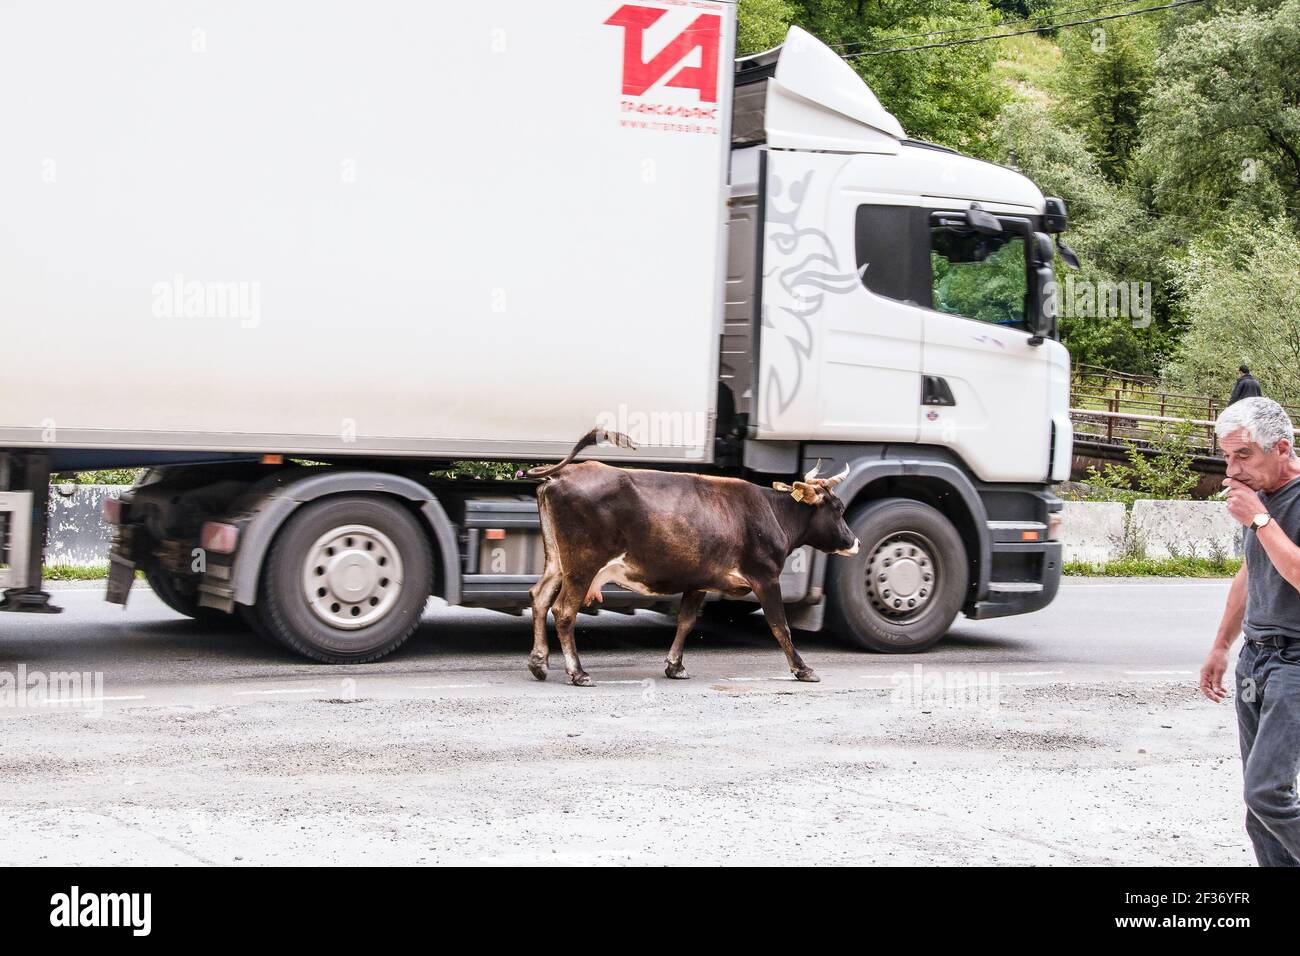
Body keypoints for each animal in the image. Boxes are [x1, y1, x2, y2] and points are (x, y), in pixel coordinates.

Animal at [522, 429, 857, 686]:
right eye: (838, 508)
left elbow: (686, 621)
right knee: (564, 611)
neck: (771, 512)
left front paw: (675, 666)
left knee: (539, 597)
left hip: (557, 561)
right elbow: (779, 625)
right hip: (583, 564)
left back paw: (539, 663)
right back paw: (578, 672)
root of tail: (564, 472)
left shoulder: (700, 580)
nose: (854, 541)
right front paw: (803, 669)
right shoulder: (766, 576)